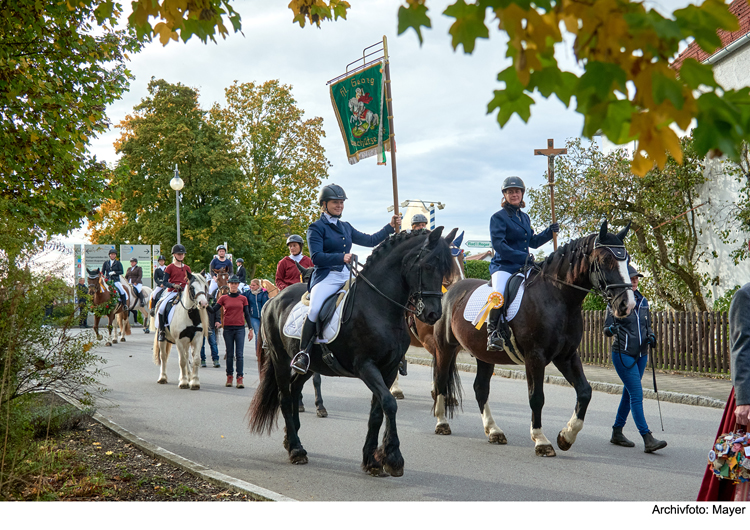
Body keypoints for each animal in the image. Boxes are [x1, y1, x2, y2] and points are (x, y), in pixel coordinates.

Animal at [248, 227, 458, 474]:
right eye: (427, 265)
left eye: (445, 270)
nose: (434, 314)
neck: (377, 306)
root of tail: (273, 300)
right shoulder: (366, 366)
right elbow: (390, 404)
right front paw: (393, 457)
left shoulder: (388, 369)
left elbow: (378, 411)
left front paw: (372, 460)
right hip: (280, 359)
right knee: (284, 396)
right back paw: (296, 450)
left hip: (310, 366)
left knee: (294, 389)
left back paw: (291, 440)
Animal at [432, 221, 636, 456]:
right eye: (605, 260)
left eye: (627, 259)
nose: (627, 305)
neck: (559, 297)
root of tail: (451, 289)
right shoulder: (535, 357)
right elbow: (536, 397)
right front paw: (541, 441)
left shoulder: (567, 356)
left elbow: (585, 392)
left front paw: (566, 436)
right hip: (445, 348)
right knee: (441, 382)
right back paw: (442, 423)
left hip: (484, 355)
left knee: (480, 389)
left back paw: (493, 431)